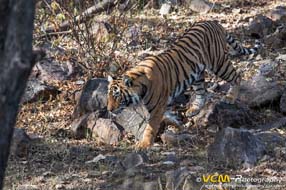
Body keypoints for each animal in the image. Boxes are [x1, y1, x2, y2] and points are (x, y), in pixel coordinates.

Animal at [106, 20, 260, 148]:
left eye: (117, 95)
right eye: (109, 96)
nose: (109, 109)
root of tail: (214, 22)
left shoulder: (157, 108)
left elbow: (150, 127)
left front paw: (144, 144)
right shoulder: (165, 103)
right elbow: (169, 116)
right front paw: (177, 125)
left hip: (218, 63)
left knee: (236, 76)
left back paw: (230, 97)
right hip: (197, 74)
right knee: (202, 92)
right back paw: (194, 109)